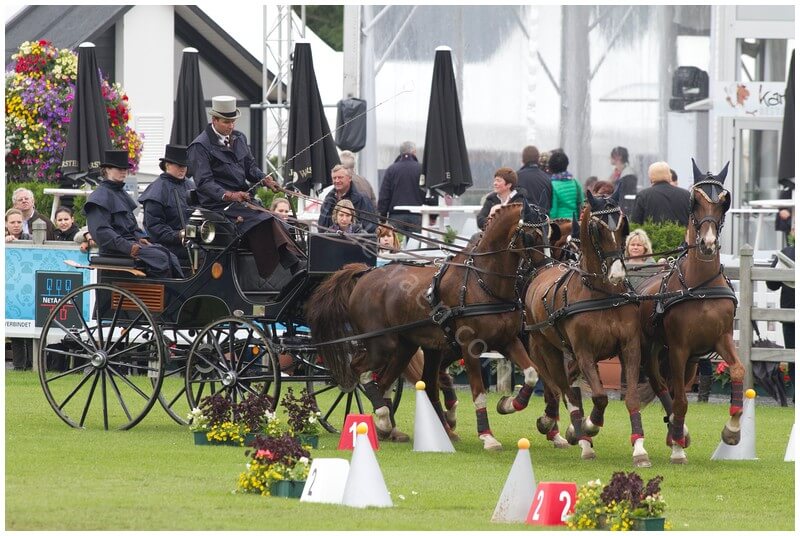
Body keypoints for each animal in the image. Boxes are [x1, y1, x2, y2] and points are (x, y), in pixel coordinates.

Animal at [305, 203, 559, 450]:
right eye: (531, 235)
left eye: (550, 234)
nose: (546, 270)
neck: (482, 283)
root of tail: (366, 273)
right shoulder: (470, 347)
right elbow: (479, 393)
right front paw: (488, 436)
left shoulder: (509, 341)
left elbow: (532, 374)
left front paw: (509, 404)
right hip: (382, 344)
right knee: (362, 371)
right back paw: (385, 419)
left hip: (406, 346)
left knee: (387, 382)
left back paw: (387, 425)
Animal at [521, 190, 652, 467]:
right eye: (597, 229)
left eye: (623, 226)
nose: (617, 273)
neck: (603, 294)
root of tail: (543, 268)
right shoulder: (584, 353)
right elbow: (599, 396)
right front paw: (589, 426)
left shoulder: (629, 348)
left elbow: (631, 397)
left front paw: (639, 449)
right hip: (545, 347)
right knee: (561, 388)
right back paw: (577, 435)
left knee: (566, 386)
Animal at [637, 159, 740, 464]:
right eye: (695, 202)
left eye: (724, 202)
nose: (708, 244)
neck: (700, 286)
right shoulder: (678, 347)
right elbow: (681, 399)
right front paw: (678, 449)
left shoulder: (721, 339)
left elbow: (738, 370)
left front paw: (732, 430)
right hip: (654, 349)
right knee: (661, 385)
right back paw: (676, 432)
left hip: (693, 361)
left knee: (674, 385)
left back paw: (676, 430)